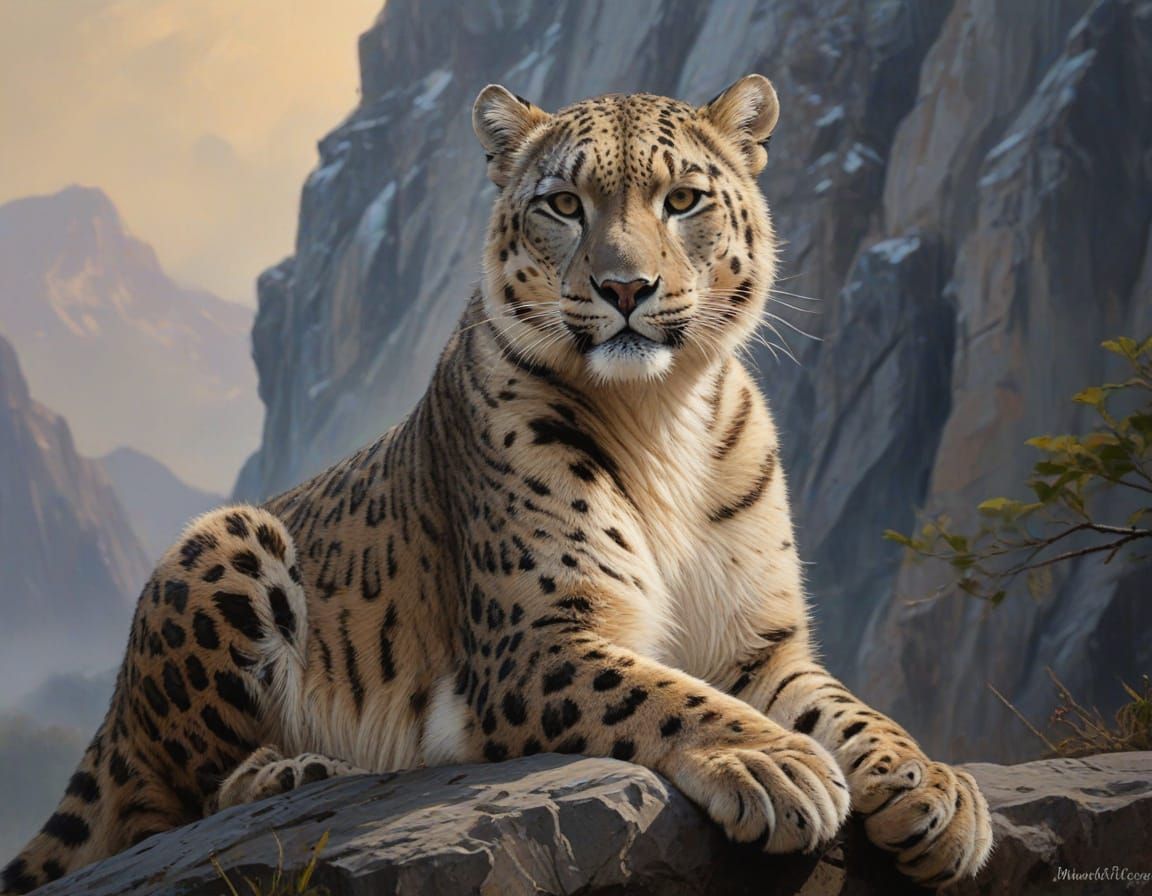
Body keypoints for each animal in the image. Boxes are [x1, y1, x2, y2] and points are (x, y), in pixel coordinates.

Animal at [2, 75, 992, 893]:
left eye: (682, 200)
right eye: (563, 203)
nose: (626, 287)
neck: (660, 416)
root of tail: (114, 707)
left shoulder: (762, 643)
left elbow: (851, 711)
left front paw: (935, 792)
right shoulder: (537, 640)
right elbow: (665, 695)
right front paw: (775, 765)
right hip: (229, 542)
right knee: (162, 812)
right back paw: (294, 772)